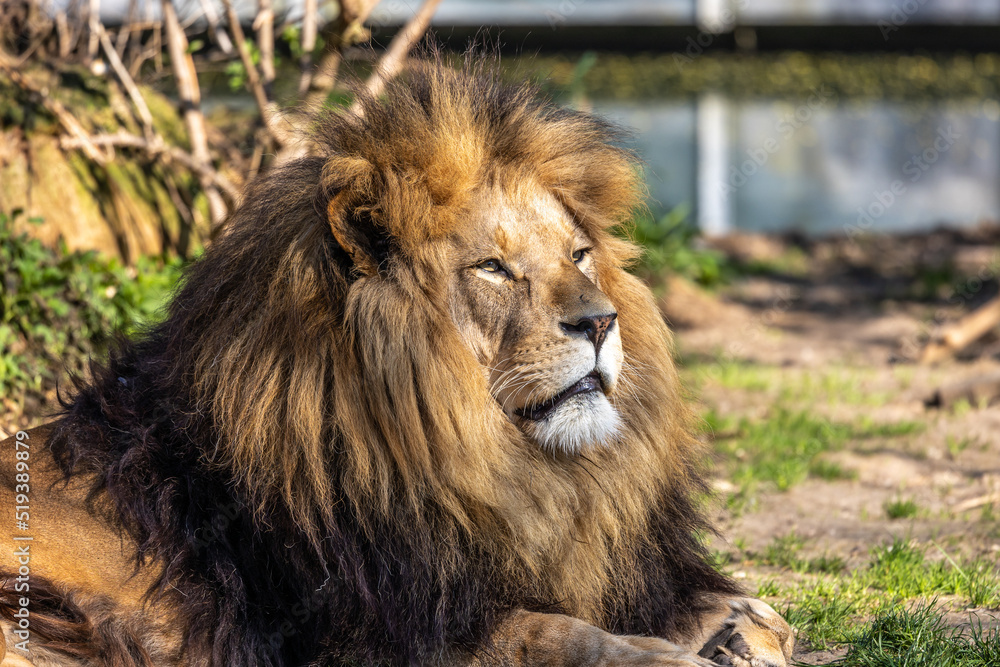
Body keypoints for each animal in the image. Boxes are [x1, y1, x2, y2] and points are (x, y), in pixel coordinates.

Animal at [1, 58, 796, 667]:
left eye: (577, 255)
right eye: (493, 268)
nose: (602, 322)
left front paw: (743, 626)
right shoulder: (366, 634)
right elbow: (549, 631)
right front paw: (668, 655)